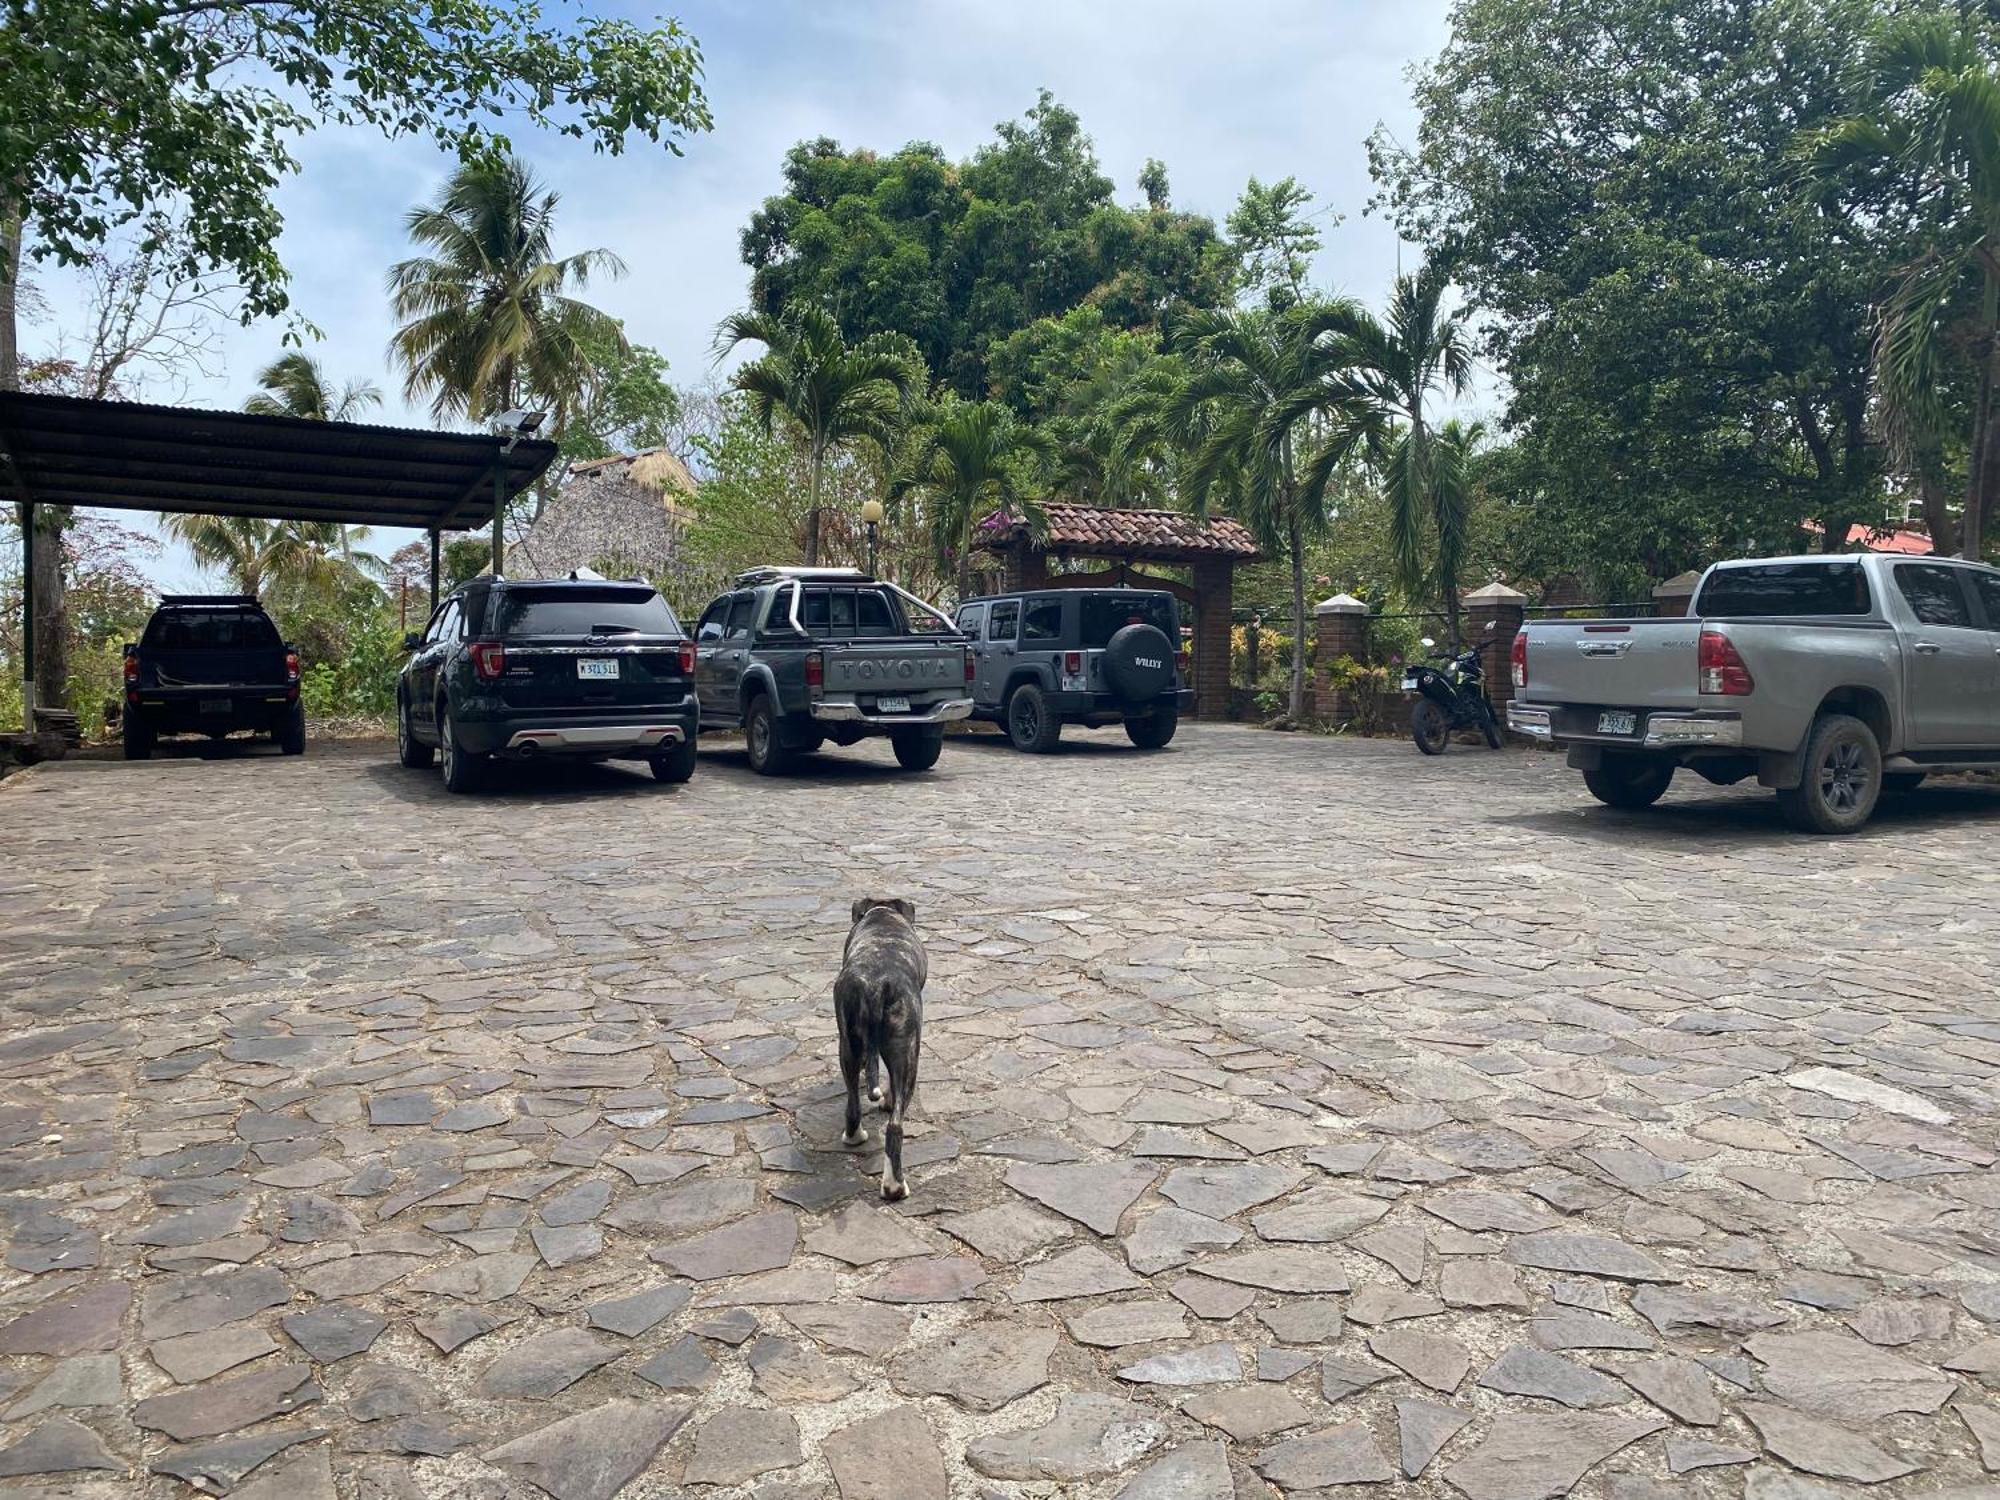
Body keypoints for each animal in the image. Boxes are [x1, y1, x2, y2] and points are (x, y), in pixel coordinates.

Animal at [832, 900, 924, 1208]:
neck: (882, 913)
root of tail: (877, 985)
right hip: (908, 1051)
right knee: (895, 1127)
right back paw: (895, 1186)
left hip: (848, 1044)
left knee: (853, 1104)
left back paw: (854, 1137)